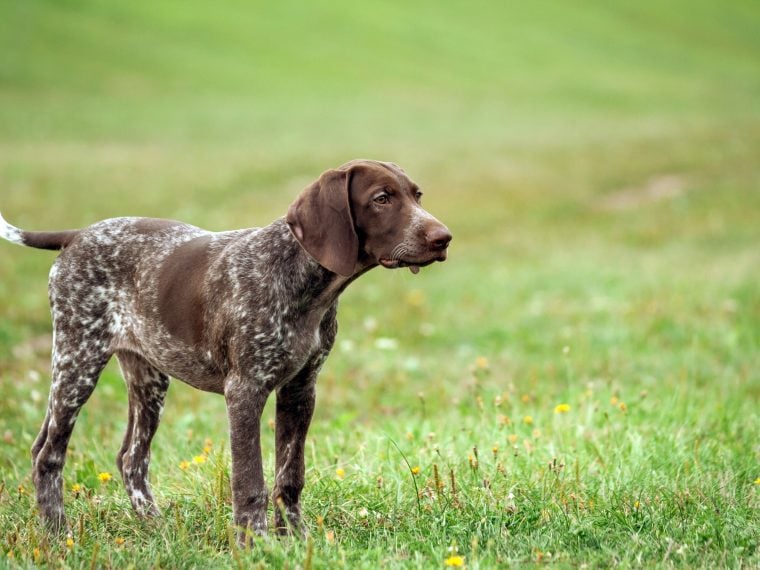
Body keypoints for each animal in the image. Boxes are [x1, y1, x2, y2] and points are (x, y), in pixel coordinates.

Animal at [0, 159, 452, 536]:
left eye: (417, 196)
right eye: (382, 198)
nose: (444, 238)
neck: (304, 282)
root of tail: (77, 235)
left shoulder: (300, 390)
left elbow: (290, 475)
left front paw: (296, 538)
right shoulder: (245, 391)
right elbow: (250, 479)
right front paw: (255, 542)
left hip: (148, 379)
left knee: (131, 458)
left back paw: (155, 525)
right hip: (78, 360)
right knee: (48, 453)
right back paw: (57, 533)